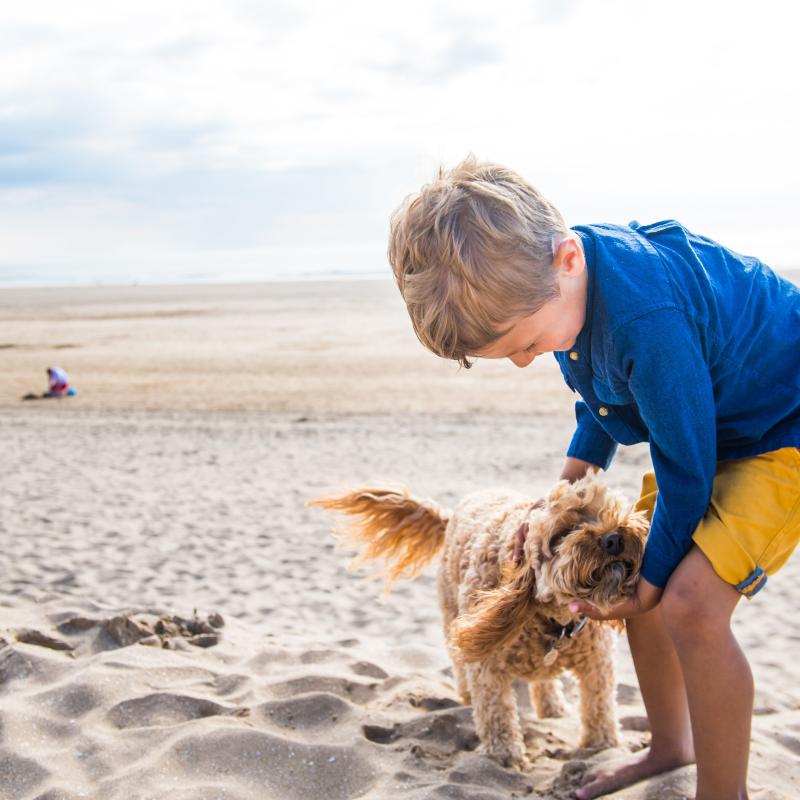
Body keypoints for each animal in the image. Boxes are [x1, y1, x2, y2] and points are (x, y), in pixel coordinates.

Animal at [310, 472, 648, 772]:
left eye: (607, 511)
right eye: (563, 532)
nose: (613, 539)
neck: (550, 617)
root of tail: (452, 513)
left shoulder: (597, 662)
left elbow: (599, 705)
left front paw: (602, 746)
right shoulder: (486, 664)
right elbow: (496, 712)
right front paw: (505, 755)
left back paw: (552, 707)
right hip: (452, 616)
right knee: (462, 666)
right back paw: (470, 697)